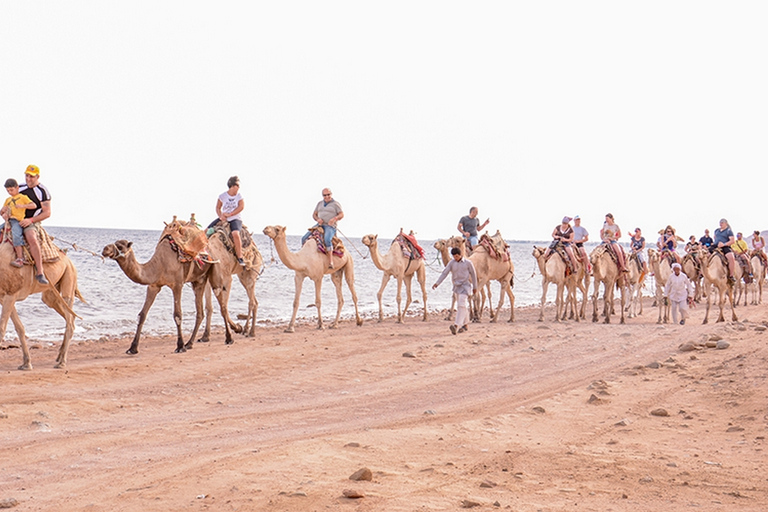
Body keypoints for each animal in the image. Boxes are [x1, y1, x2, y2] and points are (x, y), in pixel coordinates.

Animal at [0, 242, 84, 370]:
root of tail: (69, 261)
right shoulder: (5, 297)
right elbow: (20, 328)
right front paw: (26, 363)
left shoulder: (10, 295)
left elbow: (2, 328)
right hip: (51, 292)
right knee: (69, 315)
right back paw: (59, 356)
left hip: (69, 276)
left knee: (70, 321)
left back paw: (62, 362)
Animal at [102, 220, 238, 356]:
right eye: (114, 243)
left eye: (120, 246)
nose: (105, 249)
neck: (160, 264)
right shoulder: (153, 286)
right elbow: (142, 315)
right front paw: (132, 348)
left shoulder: (177, 285)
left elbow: (177, 315)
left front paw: (180, 346)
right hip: (198, 281)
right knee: (200, 312)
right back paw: (190, 343)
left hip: (216, 271)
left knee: (222, 305)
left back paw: (229, 338)